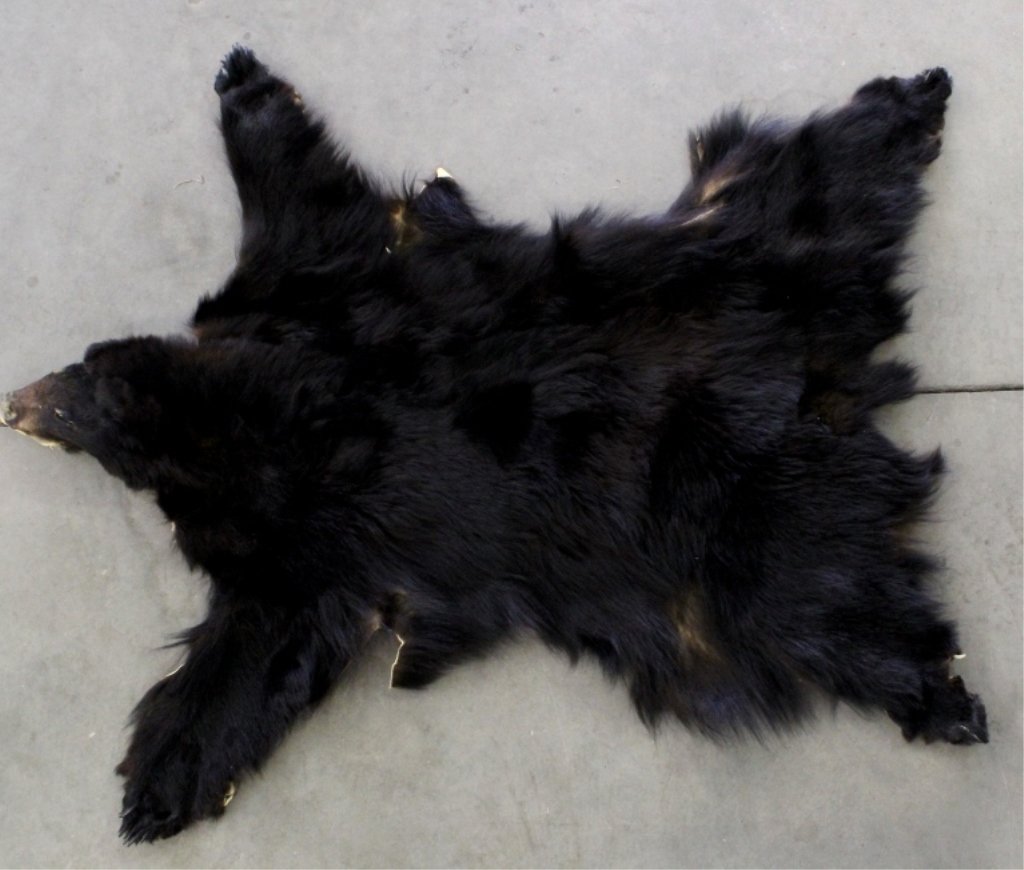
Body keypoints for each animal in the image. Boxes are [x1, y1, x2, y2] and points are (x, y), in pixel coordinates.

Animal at [0, 47, 987, 844]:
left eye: (74, 388)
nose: (14, 403)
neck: (246, 420)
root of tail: (828, 374)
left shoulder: (308, 390)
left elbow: (257, 644)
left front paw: (155, 789)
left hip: (749, 509)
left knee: (829, 616)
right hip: (777, 266)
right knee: (840, 180)